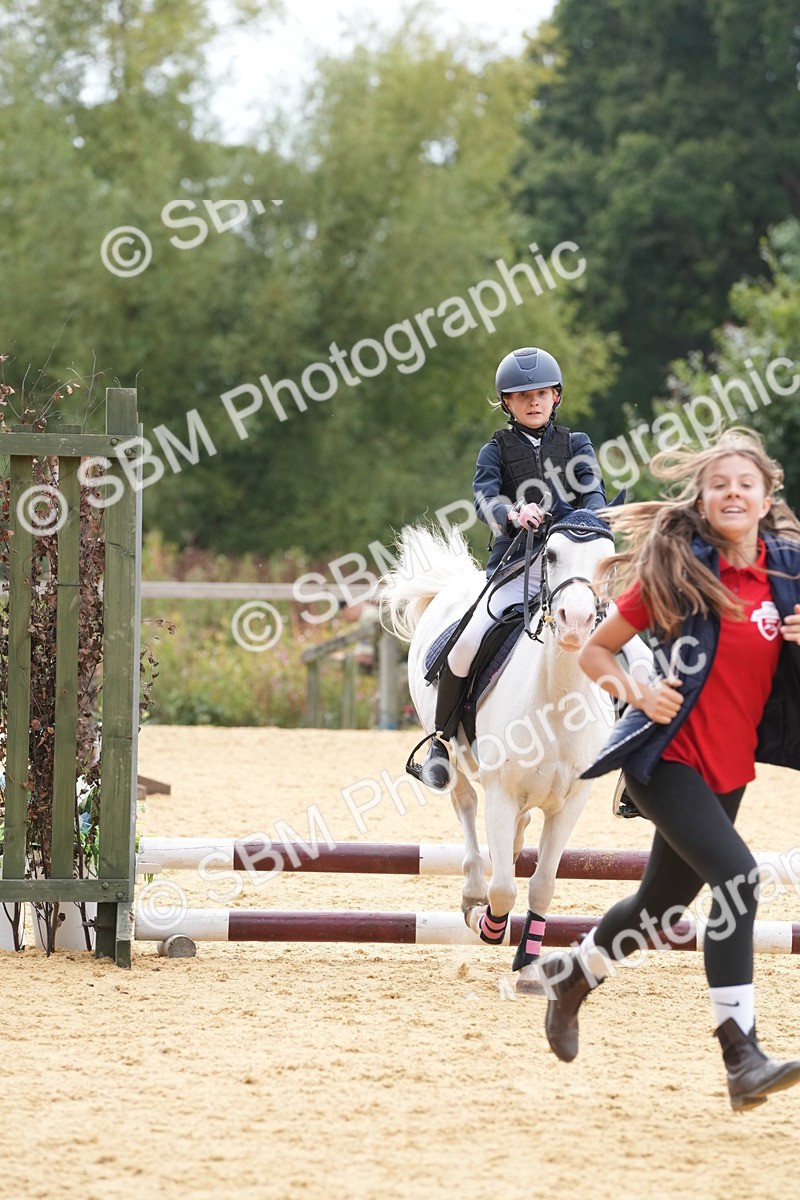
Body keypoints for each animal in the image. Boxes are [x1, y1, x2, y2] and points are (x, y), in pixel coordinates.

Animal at [379, 510, 618, 991]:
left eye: (609, 561)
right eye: (551, 554)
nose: (576, 621)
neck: (557, 702)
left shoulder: (571, 802)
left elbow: (542, 883)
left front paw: (528, 964)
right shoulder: (501, 793)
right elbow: (504, 890)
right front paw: (485, 923)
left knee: (514, 834)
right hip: (453, 756)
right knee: (466, 806)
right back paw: (473, 892)